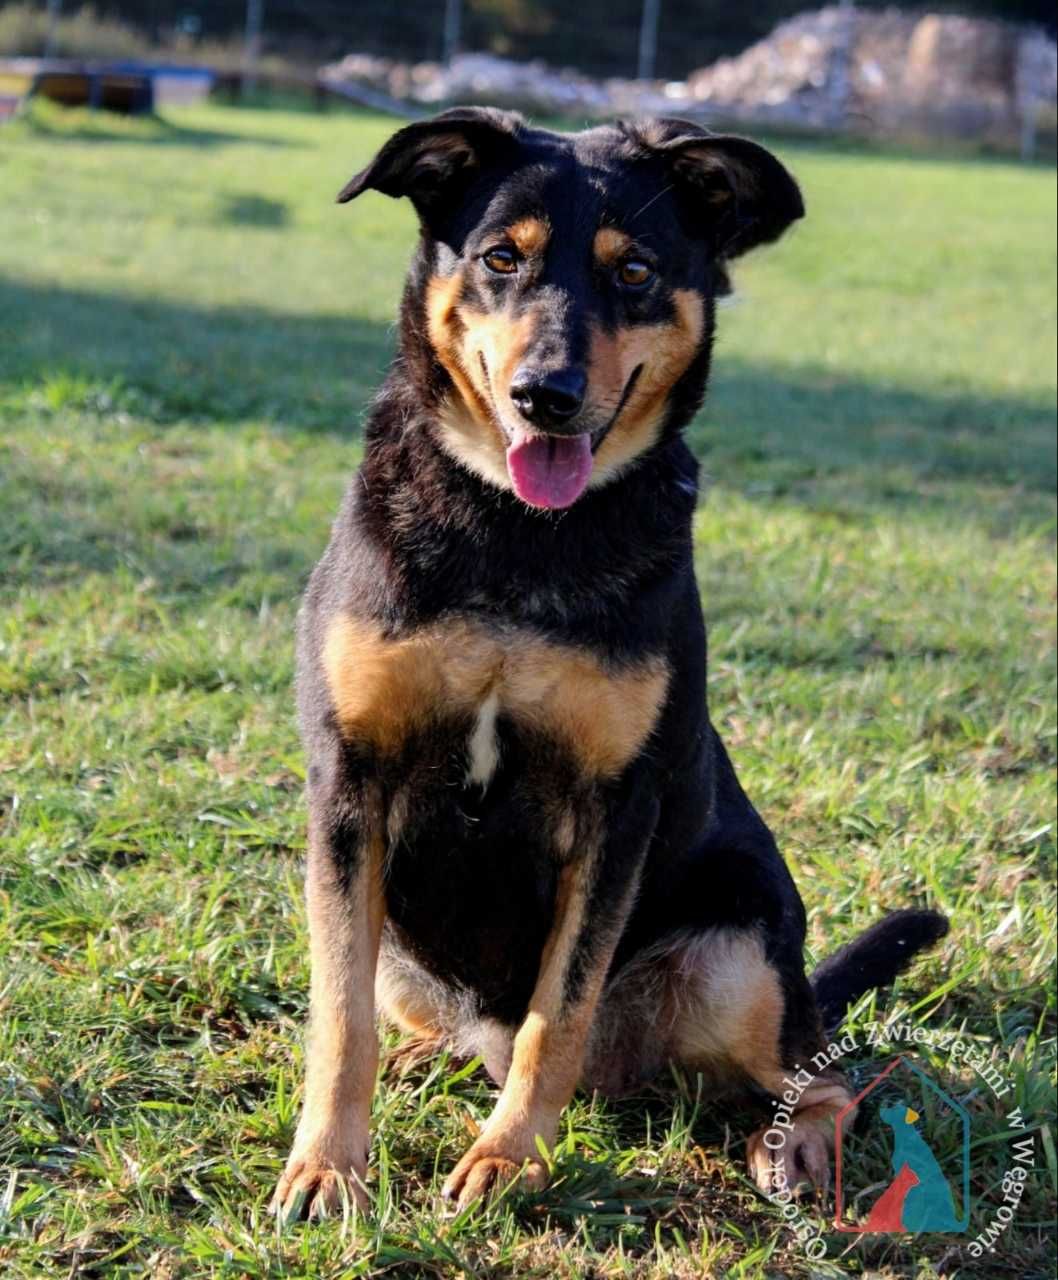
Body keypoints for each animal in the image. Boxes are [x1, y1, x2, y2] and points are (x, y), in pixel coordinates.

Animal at [272, 110, 951, 1218]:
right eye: (501, 258)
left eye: (633, 270)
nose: (543, 397)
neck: (517, 534)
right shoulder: (349, 784)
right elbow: (339, 1017)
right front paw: (328, 1165)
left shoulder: (614, 806)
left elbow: (561, 1009)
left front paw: (508, 1159)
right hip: (401, 948)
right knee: (409, 1015)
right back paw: (424, 1059)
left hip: (738, 952)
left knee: (831, 1077)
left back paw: (793, 1147)